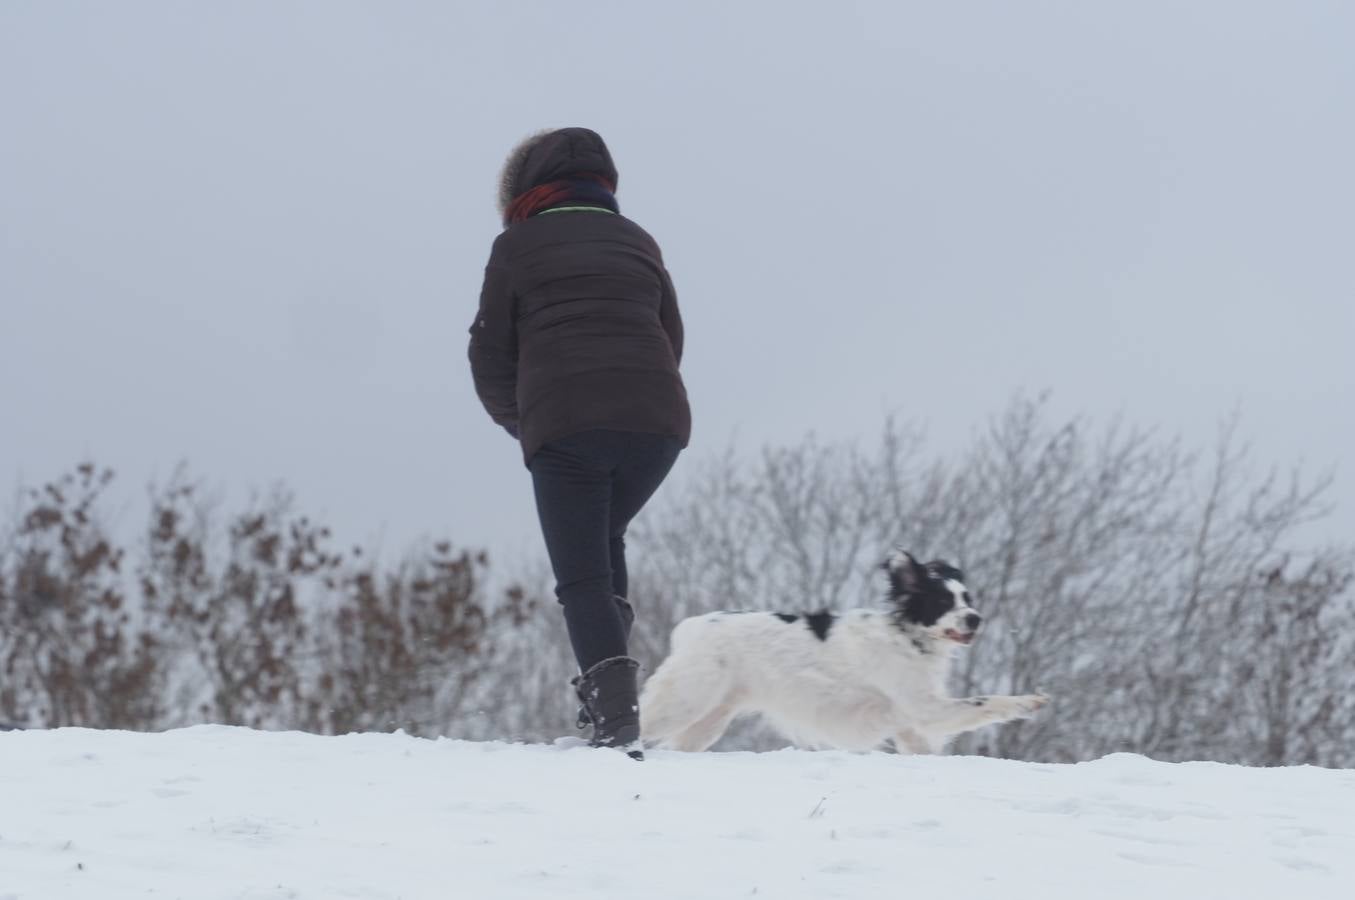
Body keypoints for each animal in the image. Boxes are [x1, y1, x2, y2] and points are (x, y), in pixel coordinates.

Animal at [642, 547, 1046, 753]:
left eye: (968, 599)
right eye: (943, 601)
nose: (976, 619)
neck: (908, 636)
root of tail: (692, 627)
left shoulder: (911, 723)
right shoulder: (925, 708)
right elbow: (987, 702)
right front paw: (1029, 702)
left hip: (708, 718)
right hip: (686, 701)